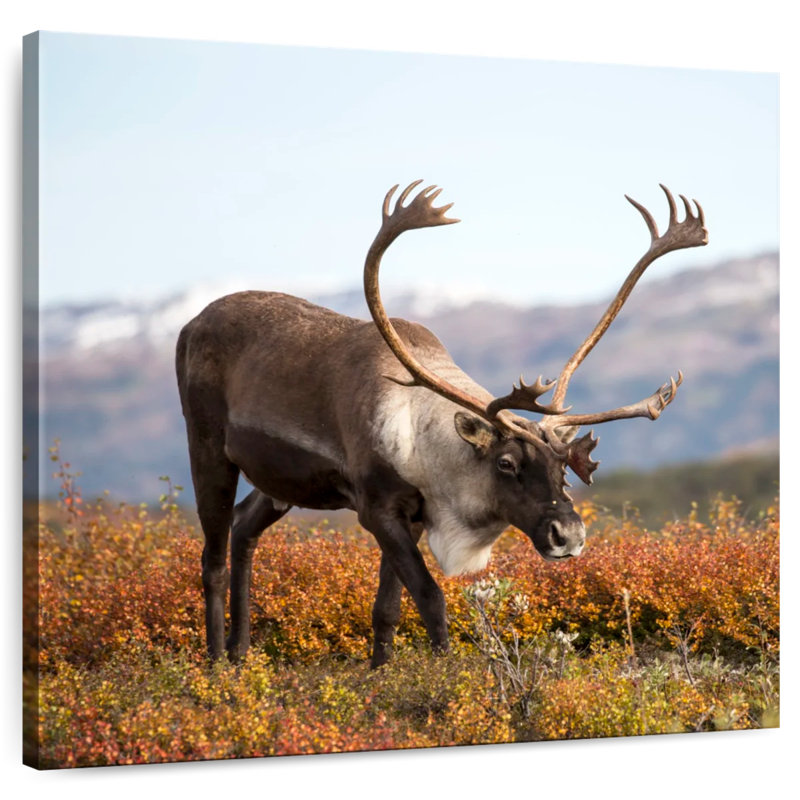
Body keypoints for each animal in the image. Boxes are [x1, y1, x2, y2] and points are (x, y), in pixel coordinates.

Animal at [176, 180, 708, 667]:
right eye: (506, 463)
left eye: (564, 466)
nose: (569, 536)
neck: (422, 442)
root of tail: (189, 324)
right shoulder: (379, 510)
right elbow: (430, 597)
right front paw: (445, 673)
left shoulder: (410, 519)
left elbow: (386, 608)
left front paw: (380, 674)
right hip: (207, 446)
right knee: (212, 557)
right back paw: (215, 662)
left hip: (279, 483)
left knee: (245, 526)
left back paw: (241, 653)